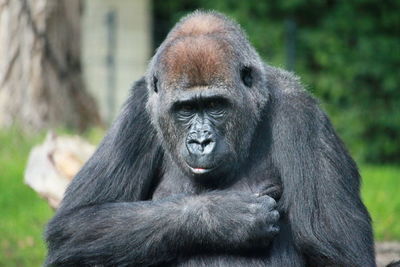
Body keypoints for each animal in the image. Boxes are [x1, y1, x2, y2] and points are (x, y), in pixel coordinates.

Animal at [45, 11, 376, 267]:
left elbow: (339, 253)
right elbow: (75, 224)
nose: (201, 142)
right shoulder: (138, 109)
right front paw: (223, 216)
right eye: (186, 109)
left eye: (215, 105)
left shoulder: (302, 114)